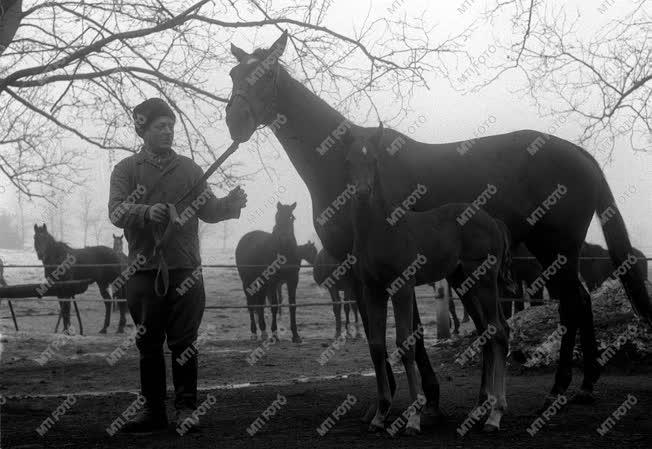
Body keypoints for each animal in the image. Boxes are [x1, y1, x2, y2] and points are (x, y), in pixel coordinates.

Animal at [236, 201, 304, 342]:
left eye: (292, 217)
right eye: (277, 216)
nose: (284, 237)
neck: (284, 253)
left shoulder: (293, 279)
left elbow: (292, 305)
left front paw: (296, 335)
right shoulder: (273, 282)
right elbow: (274, 305)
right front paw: (275, 334)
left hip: (262, 283)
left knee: (260, 303)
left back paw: (263, 331)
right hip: (247, 281)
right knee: (251, 305)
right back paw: (254, 333)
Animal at [346, 123, 516, 434]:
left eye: (373, 160)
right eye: (349, 161)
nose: (362, 192)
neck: (380, 230)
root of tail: (494, 222)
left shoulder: (402, 287)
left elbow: (406, 344)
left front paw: (413, 419)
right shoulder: (372, 290)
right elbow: (376, 346)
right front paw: (380, 415)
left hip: (484, 280)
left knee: (497, 330)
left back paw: (495, 415)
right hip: (465, 282)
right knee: (494, 331)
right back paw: (485, 410)